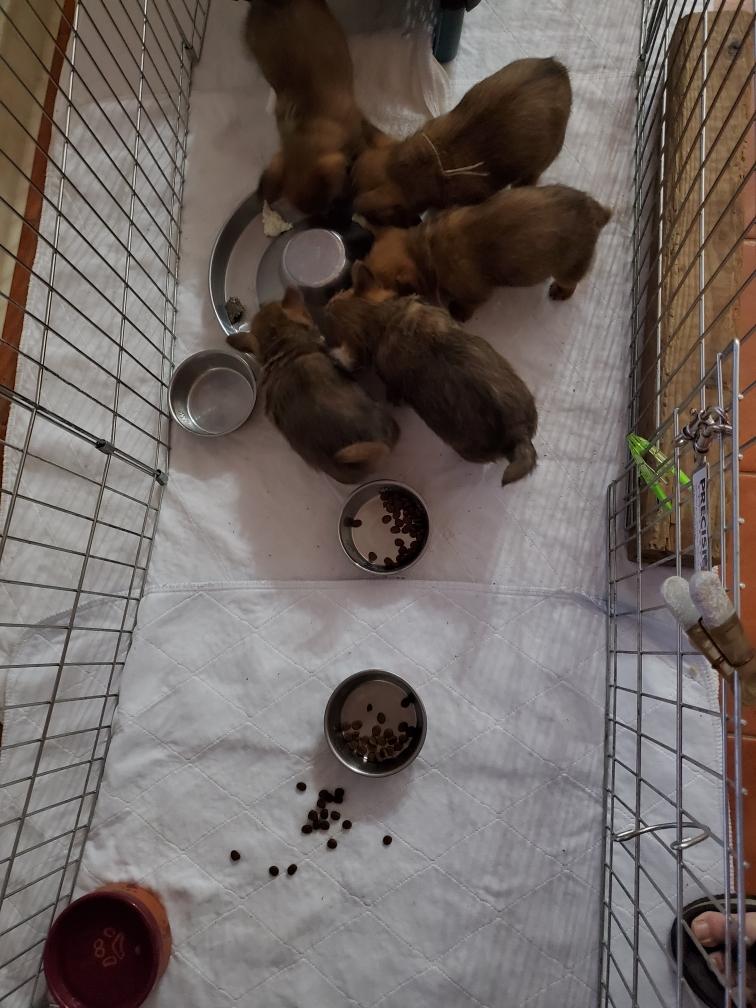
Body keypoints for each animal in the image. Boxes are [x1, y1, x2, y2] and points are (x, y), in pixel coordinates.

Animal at [362, 184, 612, 320]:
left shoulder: (476, 293)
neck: (425, 248)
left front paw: (459, 312)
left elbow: (469, 303)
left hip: (568, 269)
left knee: (571, 283)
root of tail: (597, 211)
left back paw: (560, 291)